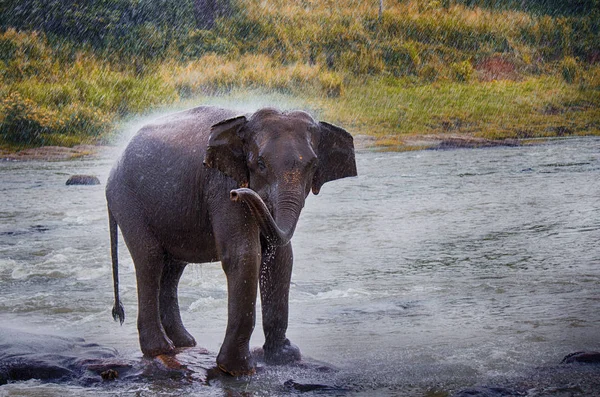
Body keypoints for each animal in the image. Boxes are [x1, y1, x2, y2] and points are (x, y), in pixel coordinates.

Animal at [106, 104, 356, 374]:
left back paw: (185, 342)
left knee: (173, 268)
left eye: (313, 165)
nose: (238, 194)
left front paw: (283, 356)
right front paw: (238, 369)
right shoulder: (222, 184)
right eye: (260, 164)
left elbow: (281, 258)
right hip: (127, 201)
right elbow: (243, 256)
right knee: (150, 259)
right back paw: (161, 349)